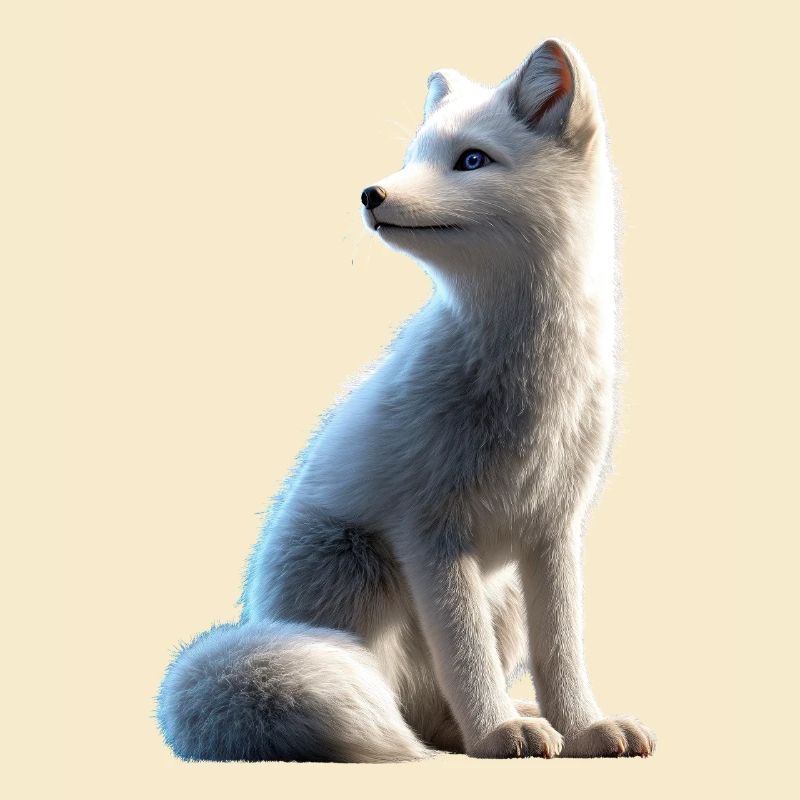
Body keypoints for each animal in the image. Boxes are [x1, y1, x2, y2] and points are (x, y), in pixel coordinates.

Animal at [157, 38, 655, 762]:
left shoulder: (554, 530)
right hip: (361, 575)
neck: (529, 379)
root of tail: (259, 617)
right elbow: (467, 659)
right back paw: (479, 731)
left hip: (500, 596)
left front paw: (586, 728)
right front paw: (498, 733)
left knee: (435, 710)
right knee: (405, 706)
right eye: (415, 155)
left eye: (471, 159)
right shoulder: (430, 531)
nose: (371, 193)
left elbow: (562, 652)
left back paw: (519, 721)